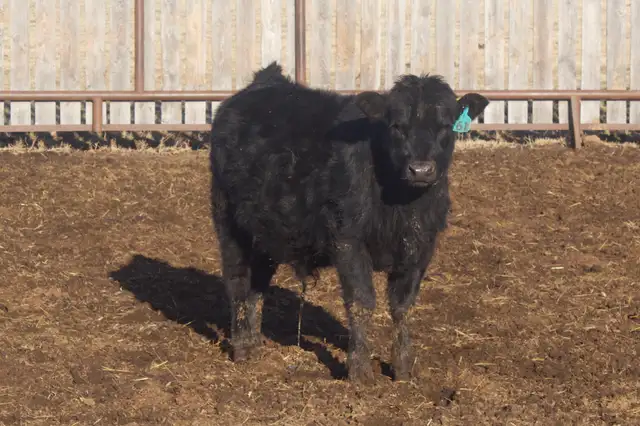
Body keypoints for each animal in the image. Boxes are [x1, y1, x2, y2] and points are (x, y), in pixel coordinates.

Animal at [209, 61, 489, 383]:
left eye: (445, 125)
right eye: (396, 126)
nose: (420, 169)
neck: (402, 205)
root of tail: (263, 83)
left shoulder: (421, 246)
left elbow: (402, 305)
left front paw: (403, 367)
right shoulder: (348, 241)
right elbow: (362, 301)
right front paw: (360, 370)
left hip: (266, 235)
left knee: (257, 286)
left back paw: (255, 344)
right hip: (229, 223)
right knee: (237, 281)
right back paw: (242, 347)